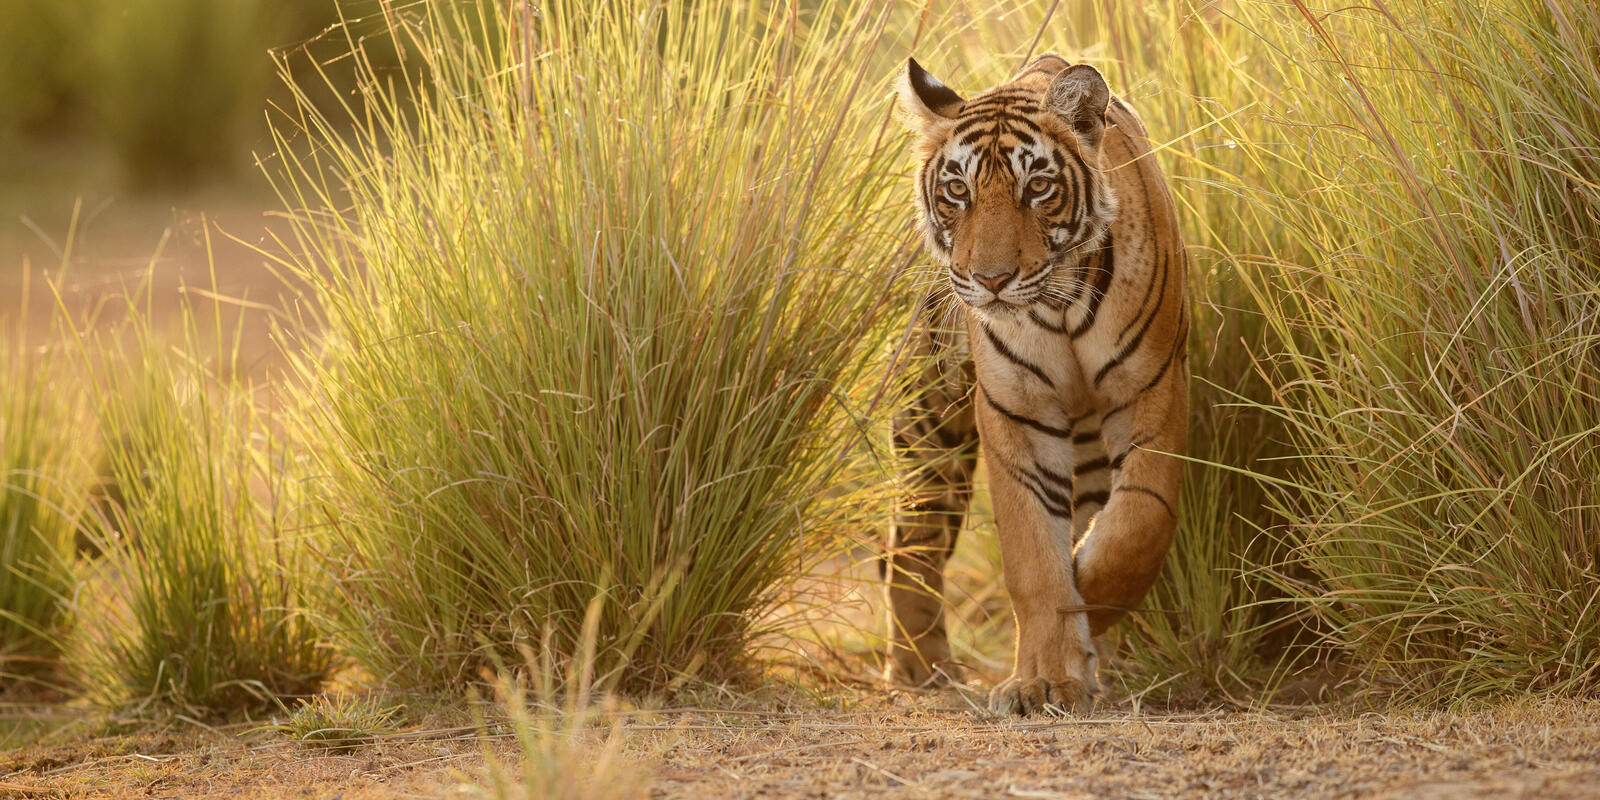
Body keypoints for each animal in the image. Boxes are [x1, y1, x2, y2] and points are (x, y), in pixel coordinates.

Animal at [889, 54, 1190, 720]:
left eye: (1038, 188)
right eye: (958, 191)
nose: (991, 279)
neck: (1058, 306)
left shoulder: (1150, 390)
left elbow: (1135, 527)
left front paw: (1087, 601)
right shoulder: (1017, 411)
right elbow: (1033, 554)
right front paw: (1045, 680)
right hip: (930, 425)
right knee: (911, 543)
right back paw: (923, 669)